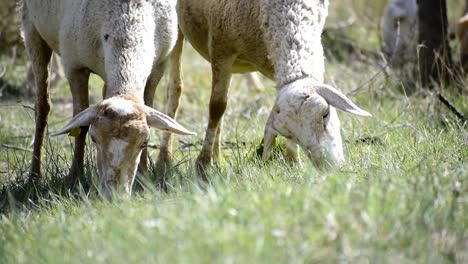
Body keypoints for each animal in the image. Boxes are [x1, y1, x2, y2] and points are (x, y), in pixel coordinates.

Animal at [21, 0, 194, 197]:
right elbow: (80, 124)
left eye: (144, 143)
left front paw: (143, 179)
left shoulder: (158, 67)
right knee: (42, 105)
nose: (114, 196)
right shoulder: (74, 66)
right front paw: (75, 177)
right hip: (31, 26)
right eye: (94, 139)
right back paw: (34, 176)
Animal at [155, 0, 372, 173]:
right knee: (175, 89)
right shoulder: (220, 48)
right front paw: (203, 164)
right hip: (176, 27)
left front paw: (293, 162)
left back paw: (217, 158)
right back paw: (164, 159)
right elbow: (216, 107)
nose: (329, 168)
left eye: (325, 113)